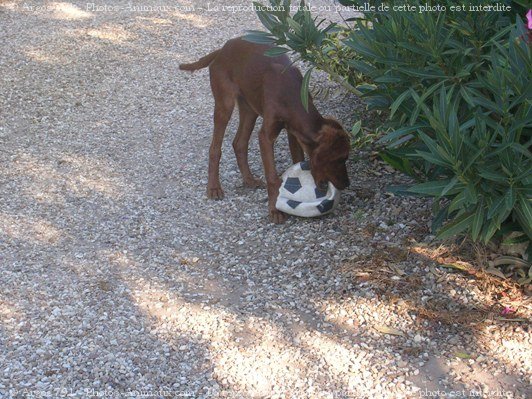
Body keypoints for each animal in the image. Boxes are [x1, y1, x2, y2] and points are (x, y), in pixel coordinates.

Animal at [181, 37, 352, 223]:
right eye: (340, 159)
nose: (347, 184)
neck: (291, 96)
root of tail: (223, 49)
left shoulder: (294, 132)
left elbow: (297, 160)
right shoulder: (266, 136)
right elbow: (272, 177)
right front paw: (275, 210)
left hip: (249, 109)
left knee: (239, 143)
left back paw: (249, 180)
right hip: (224, 105)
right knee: (215, 148)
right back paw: (213, 187)